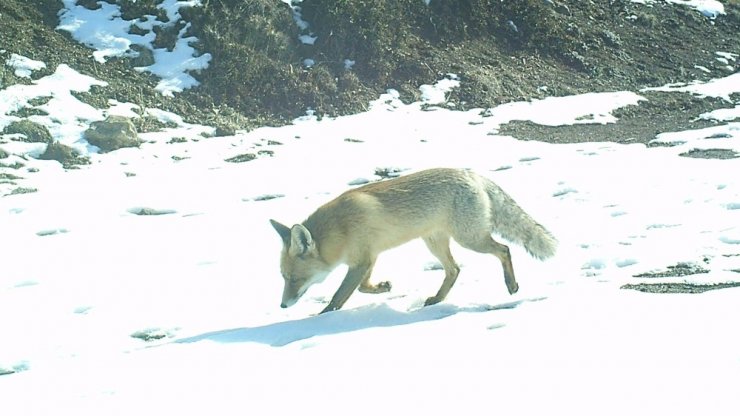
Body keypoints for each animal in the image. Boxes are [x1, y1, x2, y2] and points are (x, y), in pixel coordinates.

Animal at [270, 167, 556, 314]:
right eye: (284, 278)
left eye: (294, 279)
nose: (282, 305)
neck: (341, 228)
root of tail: (472, 174)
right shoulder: (368, 257)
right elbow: (363, 287)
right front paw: (383, 287)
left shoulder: (362, 260)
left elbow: (339, 297)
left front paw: (321, 319)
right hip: (435, 242)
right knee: (454, 270)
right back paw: (437, 300)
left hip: (470, 239)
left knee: (504, 249)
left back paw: (511, 284)